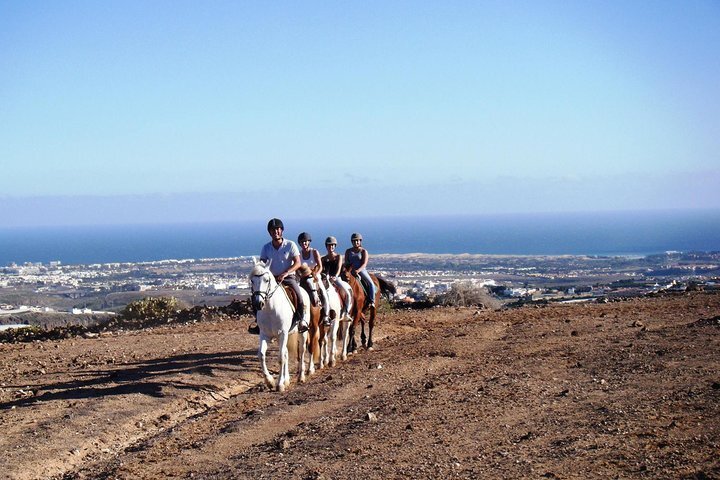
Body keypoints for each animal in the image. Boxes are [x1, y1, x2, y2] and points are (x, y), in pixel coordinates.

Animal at [250, 258, 310, 390]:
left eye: (266, 280)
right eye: (252, 280)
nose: (258, 303)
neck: (271, 309)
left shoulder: (282, 334)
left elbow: (281, 357)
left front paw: (279, 384)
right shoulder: (265, 335)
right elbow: (261, 355)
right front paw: (270, 381)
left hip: (301, 332)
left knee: (302, 351)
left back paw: (301, 377)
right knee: (286, 353)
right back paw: (287, 379)